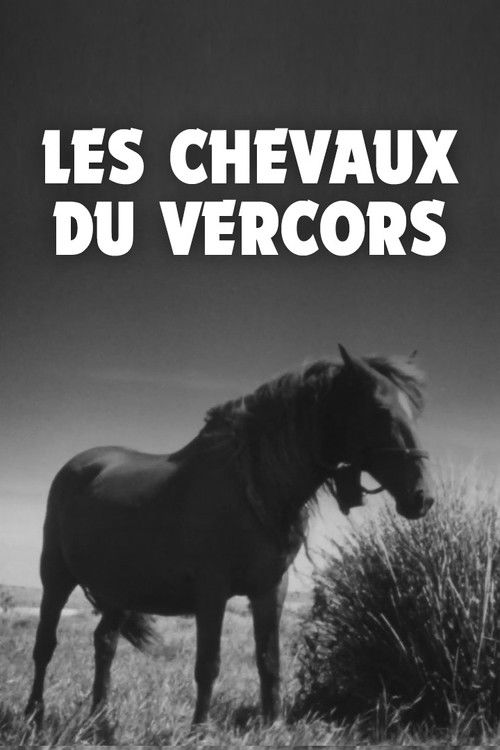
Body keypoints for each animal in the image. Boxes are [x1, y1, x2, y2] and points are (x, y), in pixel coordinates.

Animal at [25, 345, 434, 729]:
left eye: (413, 412)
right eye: (380, 410)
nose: (422, 497)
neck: (252, 485)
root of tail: (78, 466)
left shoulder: (271, 589)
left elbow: (269, 662)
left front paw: (273, 725)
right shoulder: (212, 591)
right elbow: (208, 664)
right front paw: (199, 730)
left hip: (118, 591)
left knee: (104, 644)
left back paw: (100, 718)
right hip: (56, 578)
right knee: (45, 645)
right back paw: (34, 715)